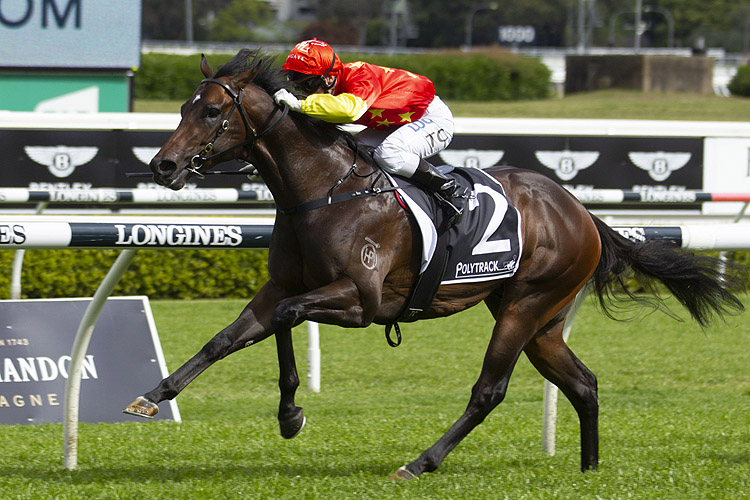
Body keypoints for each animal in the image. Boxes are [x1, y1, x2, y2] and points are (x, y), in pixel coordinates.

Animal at [123, 48, 748, 478]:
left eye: (210, 112)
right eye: (184, 107)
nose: (162, 165)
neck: (323, 191)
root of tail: (580, 210)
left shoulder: (361, 300)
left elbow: (287, 318)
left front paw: (290, 413)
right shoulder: (280, 286)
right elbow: (228, 338)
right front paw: (155, 395)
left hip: (525, 306)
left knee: (489, 391)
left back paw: (421, 461)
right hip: (542, 318)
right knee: (583, 383)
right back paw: (588, 468)